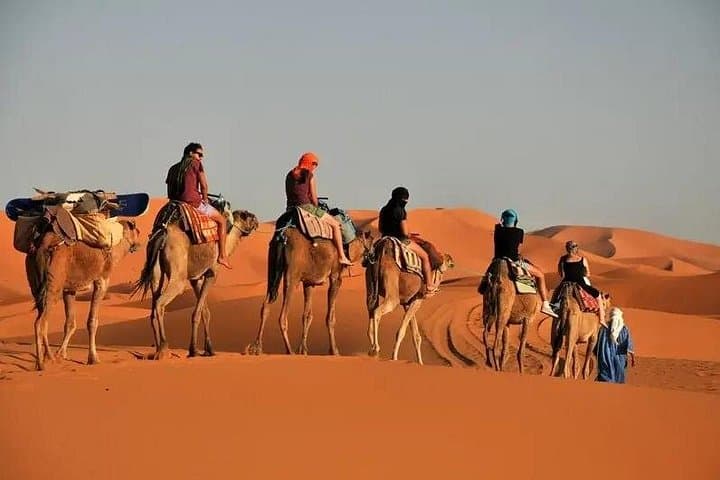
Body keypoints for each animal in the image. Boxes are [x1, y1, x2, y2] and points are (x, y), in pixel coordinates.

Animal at [26, 219, 141, 371]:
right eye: (137, 231)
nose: (138, 244)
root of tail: (42, 248)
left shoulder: (69, 289)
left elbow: (70, 323)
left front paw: (61, 354)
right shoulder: (102, 280)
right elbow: (92, 321)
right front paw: (93, 358)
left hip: (37, 286)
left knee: (43, 318)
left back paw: (46, 358)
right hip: (53, 285)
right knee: (40, 323)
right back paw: (43, 362)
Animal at [134, 209, 259, 359]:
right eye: (250, 217)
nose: (257, 222)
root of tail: (163, 236)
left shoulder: (196, 279)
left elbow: (205, 312)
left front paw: (208, 349)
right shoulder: (212, 274)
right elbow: (198, 312)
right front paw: (194, 350)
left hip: (156, 274)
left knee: (153, 308)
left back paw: (157, 349)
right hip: (178, 277)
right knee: (160, 303)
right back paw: (164, 347)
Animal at [247, 227, 374, 356]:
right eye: (372, 241)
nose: (373, 255)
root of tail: (282, 238)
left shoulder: (309, 282)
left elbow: (307, 315)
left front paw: (303, 350)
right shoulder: (336, 277)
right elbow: (330, 317)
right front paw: (334, 351)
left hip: (272, 270)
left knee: (265, 307)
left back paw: (256, 348)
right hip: (292, 275)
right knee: (282, 316)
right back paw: (289, 350)